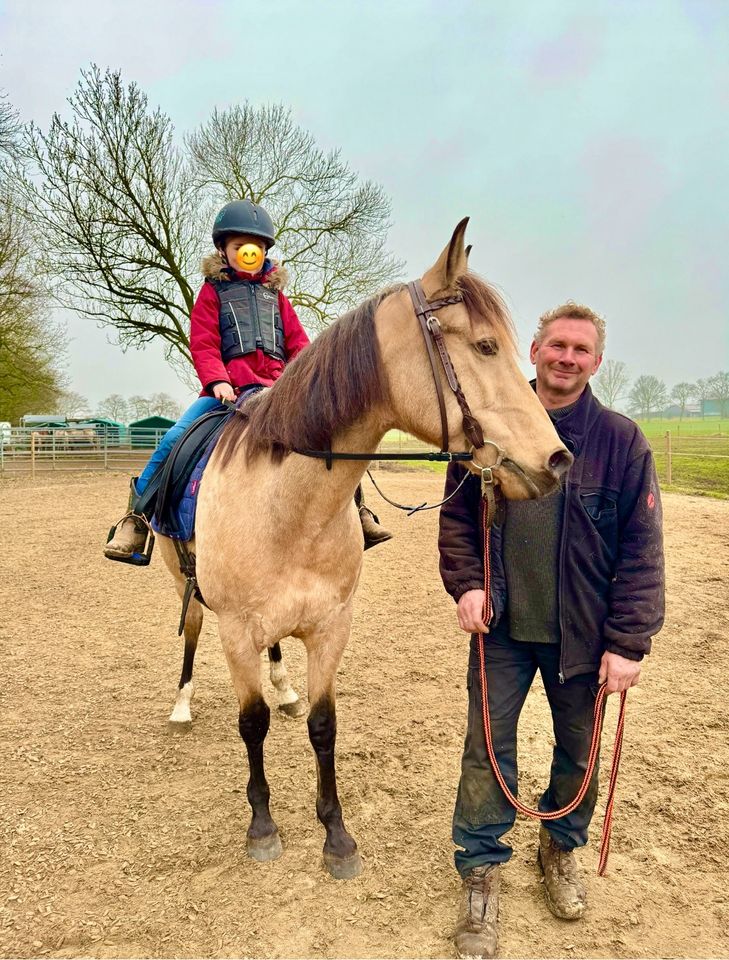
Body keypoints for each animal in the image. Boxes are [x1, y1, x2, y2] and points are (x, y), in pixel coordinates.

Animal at [156, 221, 572, 880]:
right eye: (485, 347)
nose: (558, 461)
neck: (288, 509)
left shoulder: (331, 626)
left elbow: (324, 725)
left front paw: (336, 835)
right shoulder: (237, 632)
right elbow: (252, 724)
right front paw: (263, 827)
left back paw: (285, 689)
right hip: (186, 587)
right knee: (192, 632)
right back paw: (182, 703)